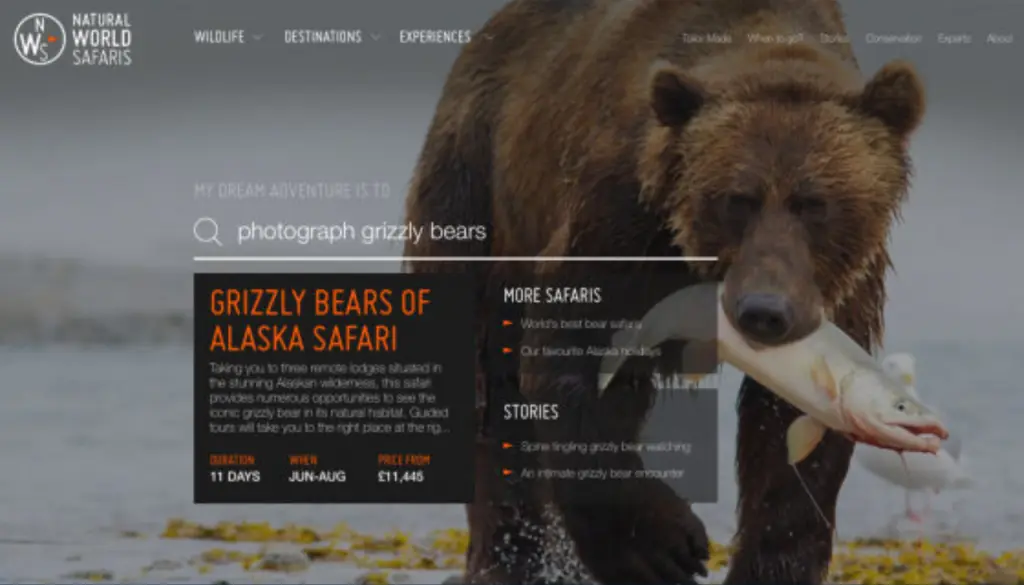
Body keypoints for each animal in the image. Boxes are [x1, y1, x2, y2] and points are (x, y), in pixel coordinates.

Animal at [403, 0, 925, 583]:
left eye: (815, 204)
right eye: (736, 199)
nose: (765, 311)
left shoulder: (846, 289)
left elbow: (788, 438)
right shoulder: (620, 217)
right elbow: (574, 351)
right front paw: (663, 547)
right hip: (475, 191)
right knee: (486, 385)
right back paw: (511, 558)